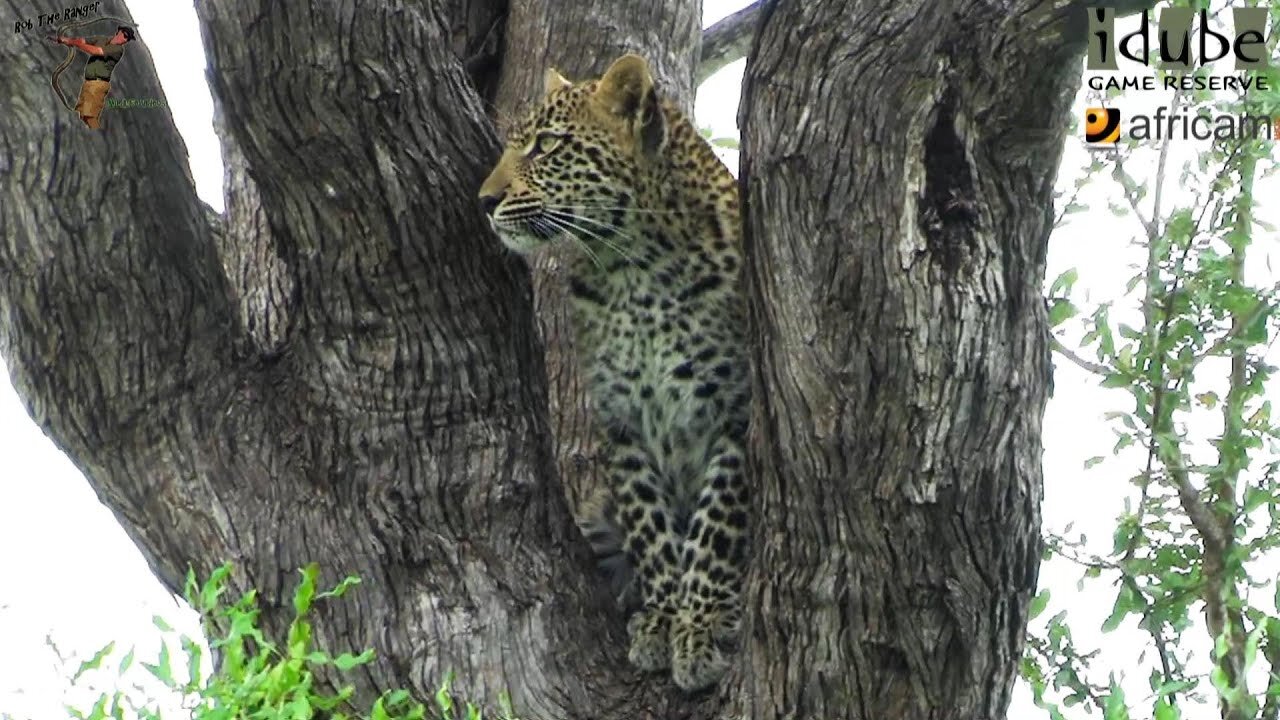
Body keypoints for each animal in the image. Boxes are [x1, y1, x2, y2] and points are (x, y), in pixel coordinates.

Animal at [481, 53, 747, 686]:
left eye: (547, 145)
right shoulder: (621, 418)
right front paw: (663, 617)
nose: (484, 200)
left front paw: (700, 624)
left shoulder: (736, 410)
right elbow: (651, 526)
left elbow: (715, 525)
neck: (635, 269)